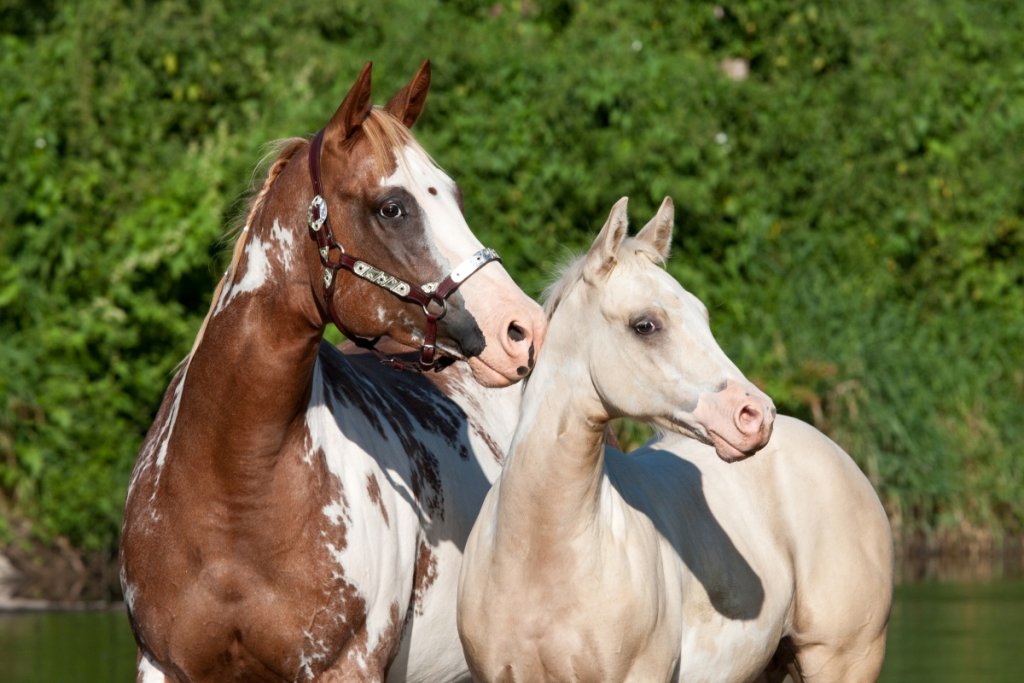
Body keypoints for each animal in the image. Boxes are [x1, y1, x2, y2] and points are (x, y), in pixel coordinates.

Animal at [119, 61, 548, 683]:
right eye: (392, 207)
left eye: (455, 197)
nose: (522, 329)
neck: (232, 490)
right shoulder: (161, 665)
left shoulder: (345, 666)